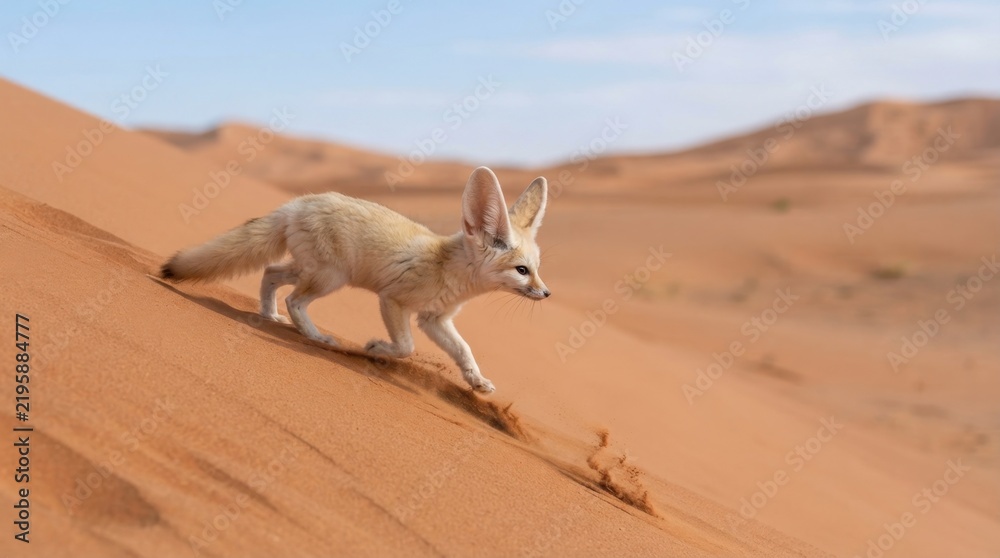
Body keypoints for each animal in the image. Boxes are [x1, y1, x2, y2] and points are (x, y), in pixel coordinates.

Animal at [160, 166, 550, 393]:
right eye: (522, 271)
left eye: (537, 267)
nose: (546, 293)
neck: (449, 271)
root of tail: (297, 203)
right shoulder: (393, 301)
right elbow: (406, 347)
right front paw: (377, 348)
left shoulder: (434, 319)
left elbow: (464, 349)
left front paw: (476, 381)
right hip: (329, 278)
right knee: (294, 299)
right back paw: (315, 336)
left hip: (311, 271)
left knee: (271, 274)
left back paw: (270, 316)